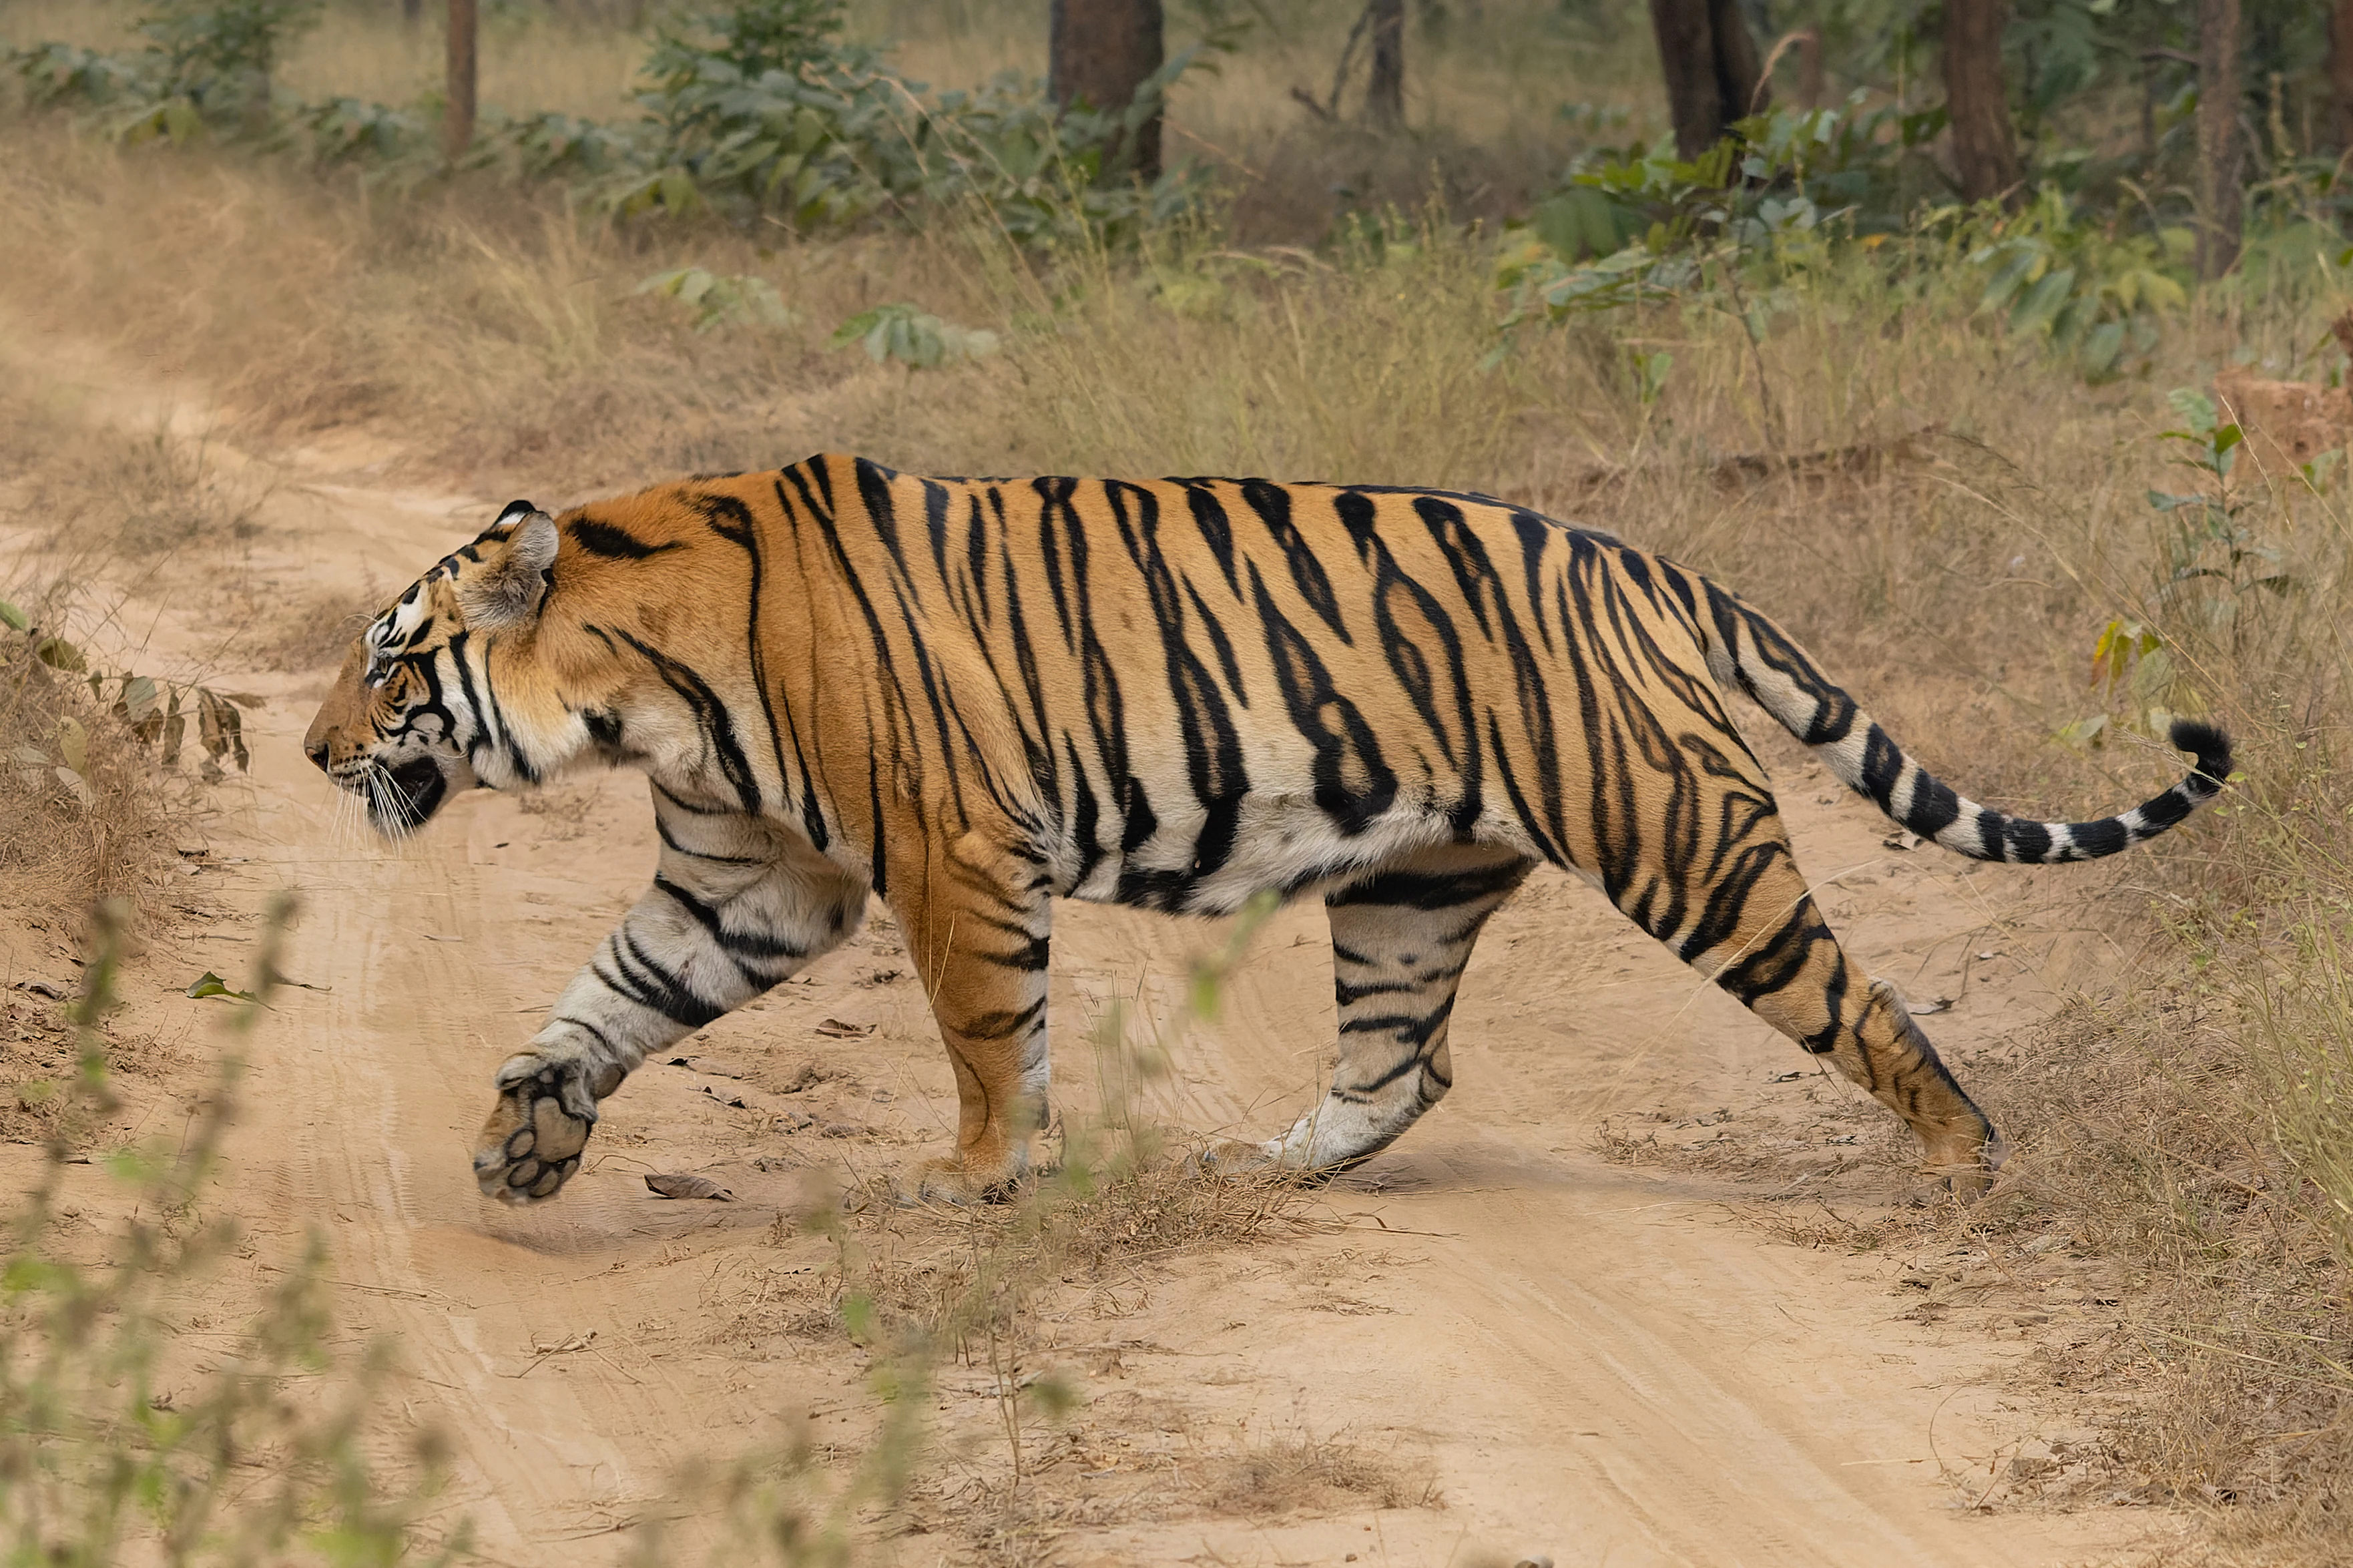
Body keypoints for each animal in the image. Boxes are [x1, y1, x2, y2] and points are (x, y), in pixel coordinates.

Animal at [302, 454, 2232, 1206]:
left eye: (390, 658)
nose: (314, 750)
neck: (639, 680)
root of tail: (1652, 565)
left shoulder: (952, 849)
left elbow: (982, 1030)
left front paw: (979, 1175)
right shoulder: (743, 873)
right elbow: (610, 994)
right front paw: (526, 1134)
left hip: (1685, 841)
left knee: (1864, 1002)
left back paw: (1963, 1164)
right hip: (1408, 885)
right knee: (1402, 1061)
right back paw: (1267, 1164)